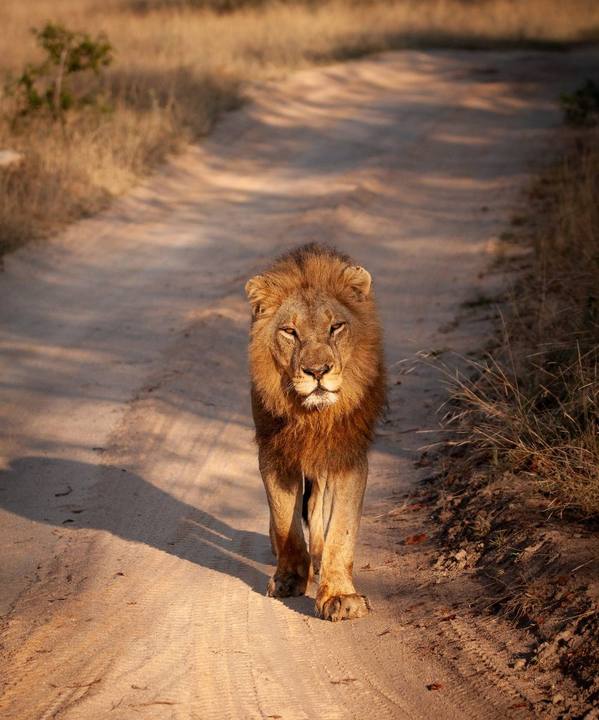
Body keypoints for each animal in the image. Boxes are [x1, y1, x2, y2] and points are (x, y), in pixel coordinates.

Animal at [245, 243, 385, 621]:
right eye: (289, 332)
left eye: (335, 327)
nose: (318, 371)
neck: (312, 417)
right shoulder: (274, 455)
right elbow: (285, 523)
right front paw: (289, 579)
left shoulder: (348, 456)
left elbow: (341, 531)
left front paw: (339, 596)